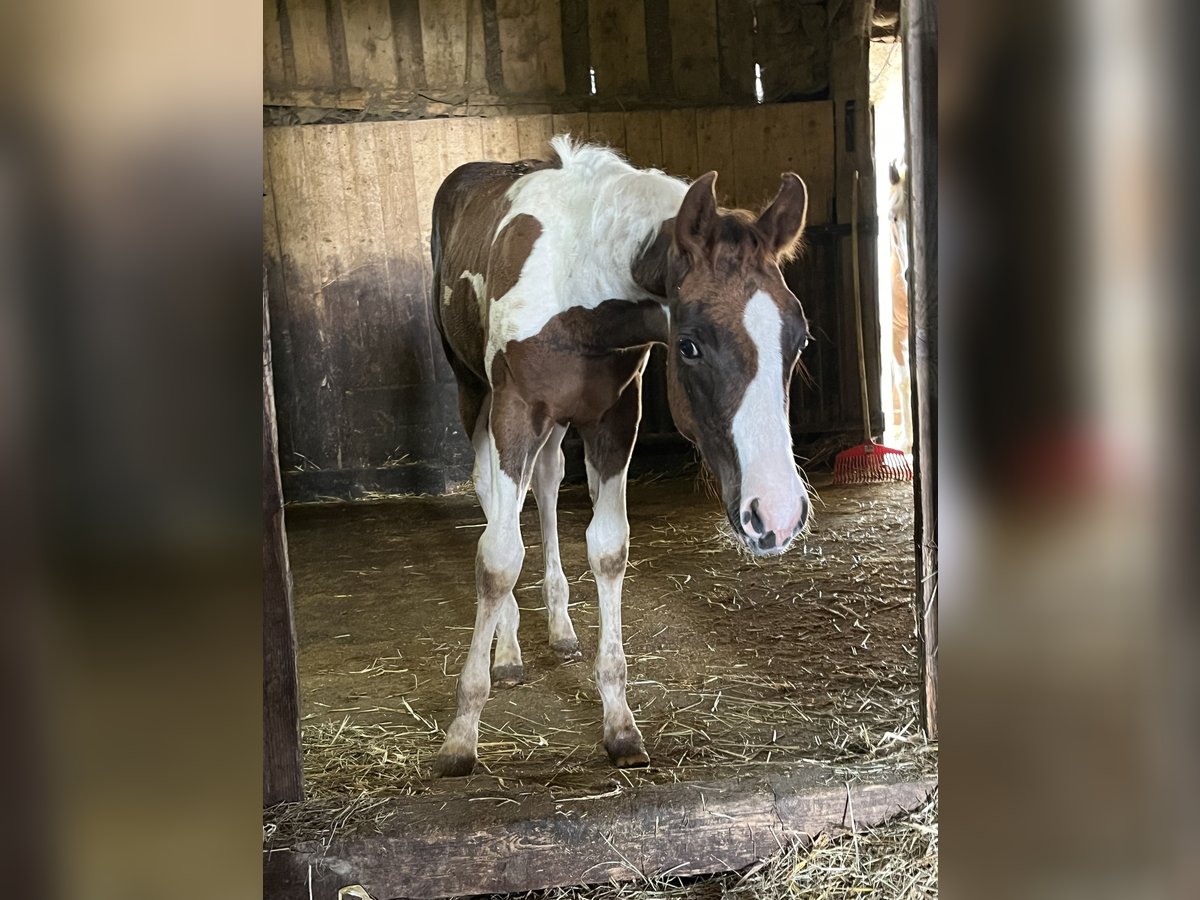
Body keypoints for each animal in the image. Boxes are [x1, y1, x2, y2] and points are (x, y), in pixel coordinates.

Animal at [430, 136, 812, 776]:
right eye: (689, 345)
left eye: (799, 339)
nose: (776, 516)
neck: (578, 286)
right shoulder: (514, 409)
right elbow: (498, 558)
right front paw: (462, 735)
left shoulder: (613, 418)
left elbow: (608, 549)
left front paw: (619, 725)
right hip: (471, 391)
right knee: (492, 497)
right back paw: (508, 652)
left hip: (558, 424)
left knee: (548, 485)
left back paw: (560, 628)